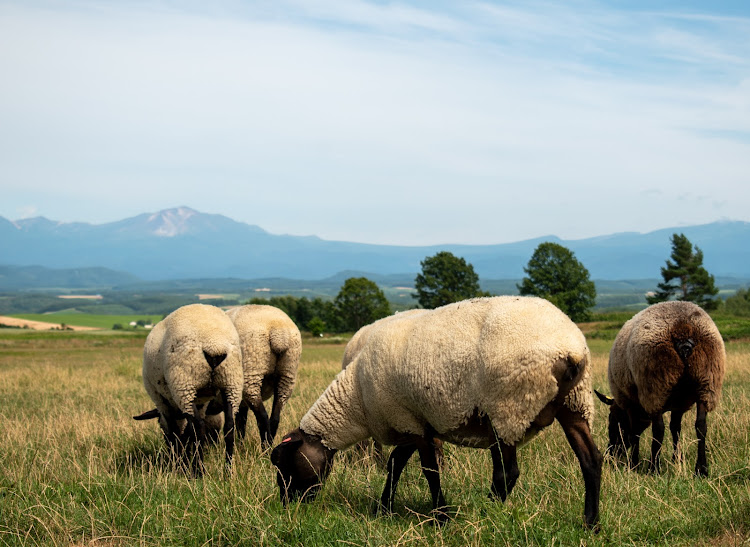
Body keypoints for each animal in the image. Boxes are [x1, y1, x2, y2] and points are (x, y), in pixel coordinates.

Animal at [132, 304, 244, 476]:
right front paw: (184, 459)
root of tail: (214, 344)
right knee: (229, 427)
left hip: (184, 383)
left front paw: (179, 464)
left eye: (159, 425)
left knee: (199, 427)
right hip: (232, 381)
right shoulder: (201, 402)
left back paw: (199, 472)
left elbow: (175, 432)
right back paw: (227, 472)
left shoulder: (161, 401)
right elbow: (187, 433)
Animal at [226, 304, 302, 450]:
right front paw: (240, 445)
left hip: (252, 373)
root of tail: (278, 333)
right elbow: (241, 422)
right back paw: (268, 447)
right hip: (287, 374)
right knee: (275, 418)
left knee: (262, 417)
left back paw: (264, 450)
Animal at [274, 298, 604, 528]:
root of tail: (571, 349)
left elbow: (428, 470)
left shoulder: (411, 423)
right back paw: (591, 523)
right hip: (574, 403)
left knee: (507, 472)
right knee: (591, 460)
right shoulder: (411, 421)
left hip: (510, 406)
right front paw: (384, 507)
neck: (356, 400)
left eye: (285, 466)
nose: (287, 506)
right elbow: (395, 465)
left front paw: (441, 517)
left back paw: (487, 510)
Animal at [596, 300, 724, 476]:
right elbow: (676, 428)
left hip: (654, 385)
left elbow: (635, 433)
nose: (610, 455)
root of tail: (683, 329)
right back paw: (701, 469)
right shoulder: (680, 403)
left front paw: (633, 464)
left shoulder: (630, 402)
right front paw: (677, 459)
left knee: (658, 430)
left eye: (613, 420)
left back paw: (653, 468)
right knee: (701, 426)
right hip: (707, 384)